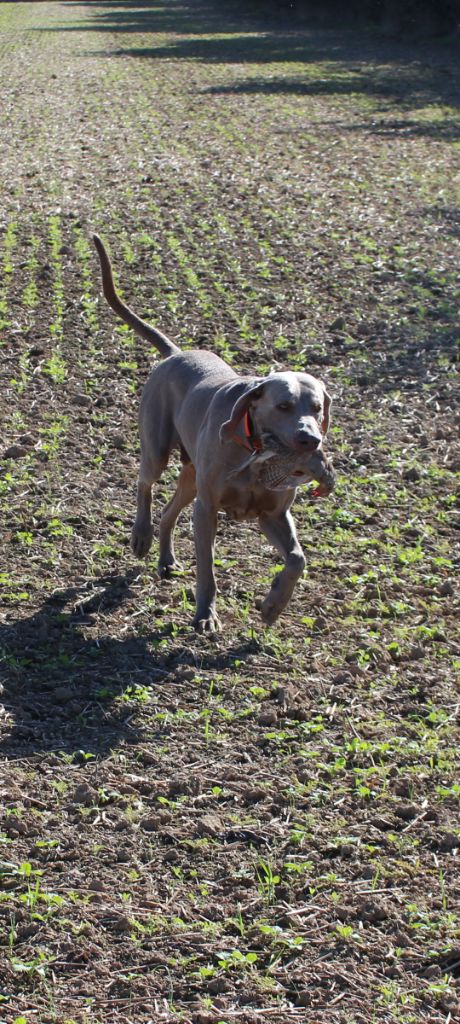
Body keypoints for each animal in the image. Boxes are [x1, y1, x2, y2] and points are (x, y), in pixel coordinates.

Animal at [93, 235, 333, 630]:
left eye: (317, 408)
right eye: (284, 405)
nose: (310, 440)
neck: (256, 453)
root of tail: (175, 353)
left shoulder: (272, 514)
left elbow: (297, 559)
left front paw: (273, 606)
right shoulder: (207, 510)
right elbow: (207, 568)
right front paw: (205, 614)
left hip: (192, 476)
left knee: (169, 512)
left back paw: (166, 560)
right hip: (158, 449)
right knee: (145, 484)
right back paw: (141, 536)